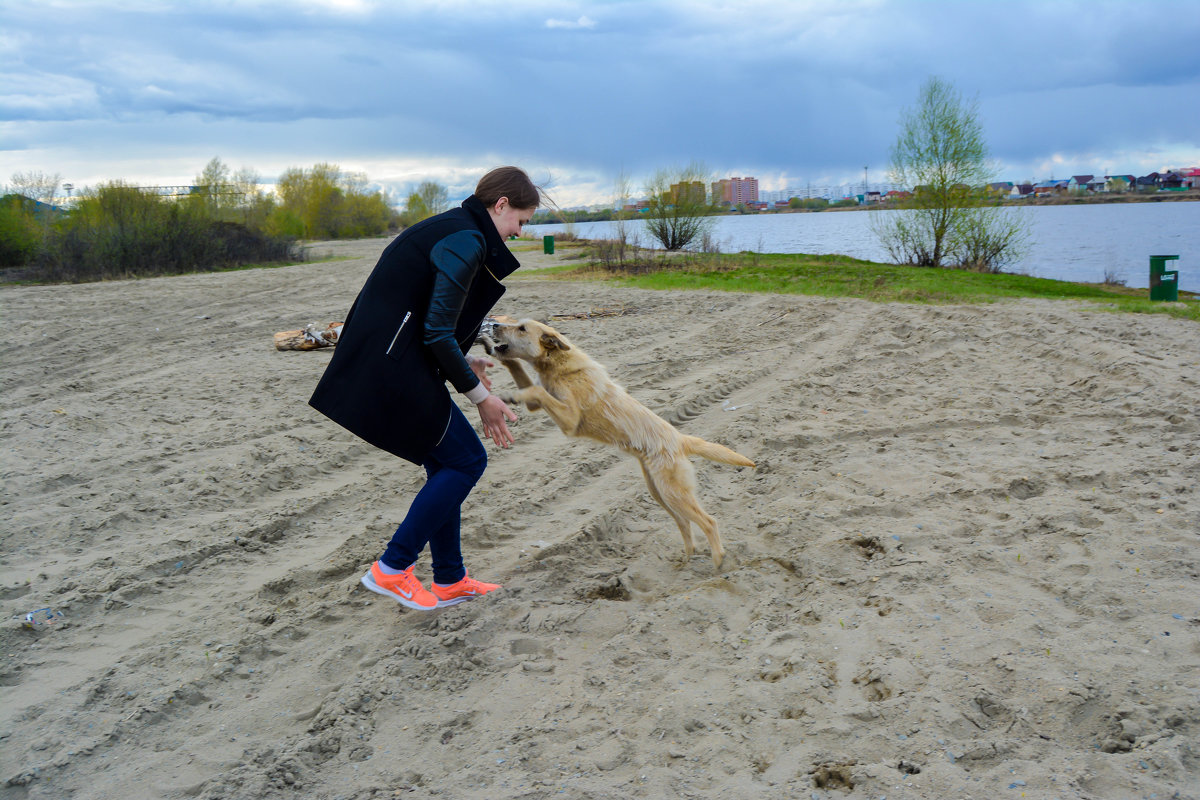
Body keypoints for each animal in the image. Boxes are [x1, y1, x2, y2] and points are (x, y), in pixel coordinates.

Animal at [484, 316, 748, 566]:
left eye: (522, 328)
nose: (494, 324)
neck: (557, 365)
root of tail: (681, 439)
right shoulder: (538, 404)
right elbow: (525, 379)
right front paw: (496, 355)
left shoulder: (570, 421)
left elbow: (536, 391)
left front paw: (510, 394)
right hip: (660, 493)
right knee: (684, 522)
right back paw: (688, 558)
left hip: (673, 493)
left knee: (709, 521)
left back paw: (718, 561)